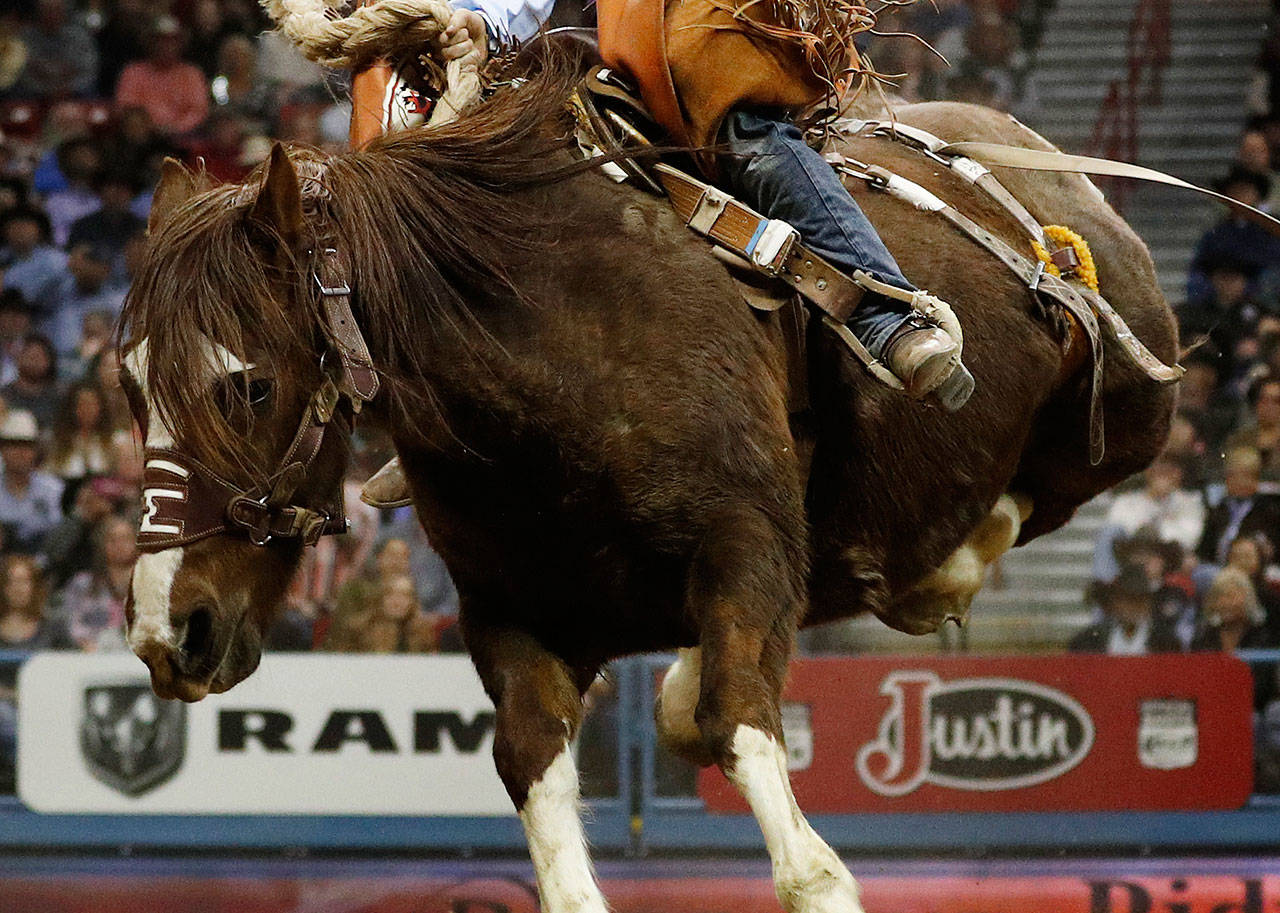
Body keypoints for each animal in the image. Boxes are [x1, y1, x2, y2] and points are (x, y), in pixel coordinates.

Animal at [120, 24, 1177, 911]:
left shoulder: (744, 545)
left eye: (249, 384)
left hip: (1134, 406)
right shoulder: (511, 614)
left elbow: (761, 764)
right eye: (132, 389)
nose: (168, 628)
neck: (544, 339)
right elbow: (546, 790)